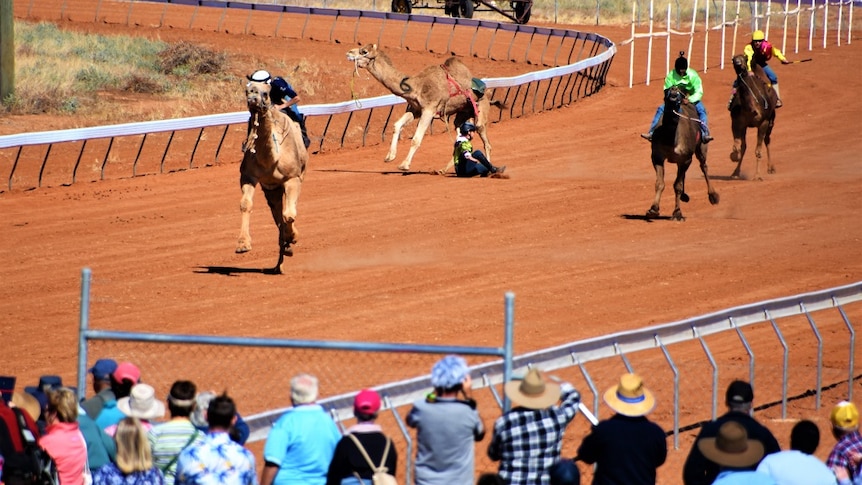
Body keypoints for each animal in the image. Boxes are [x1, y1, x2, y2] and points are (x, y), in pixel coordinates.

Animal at [238, 75, 308, 272]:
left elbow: (289, 214)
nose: (253, 95)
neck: (272, 159)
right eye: (247, 90)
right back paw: (282, 256)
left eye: (266, 93)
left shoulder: (292, 178)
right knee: (277, 215)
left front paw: (293, 237)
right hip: (271, 188)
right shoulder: (249, 177)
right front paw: (243, 244)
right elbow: (245, 204)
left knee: (286, 213)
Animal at [346, 43, 506, 172]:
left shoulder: (429, 110)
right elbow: (397, 125)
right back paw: (443, 169)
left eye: (364, 51)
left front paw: (404, 165)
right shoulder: (415, 109)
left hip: (480, 111)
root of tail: (487, 94)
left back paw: (489, 170)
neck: (417, 86)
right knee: (459, 135)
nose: (348, 53)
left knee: (486, 141)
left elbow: (416, 139)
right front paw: (390, 156)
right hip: (462, 114)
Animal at [648, 85, 724, 221]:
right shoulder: (657, 156)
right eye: (666, 91)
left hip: (701, 147)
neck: (671, 139)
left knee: (703, 166)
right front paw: (653, 209)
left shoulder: (686, 158)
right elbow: (660, 183)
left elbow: (677, 185)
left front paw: (677, 213)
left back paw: (713, 196)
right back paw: (685, 196)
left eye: (680, 93)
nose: (673, 91)